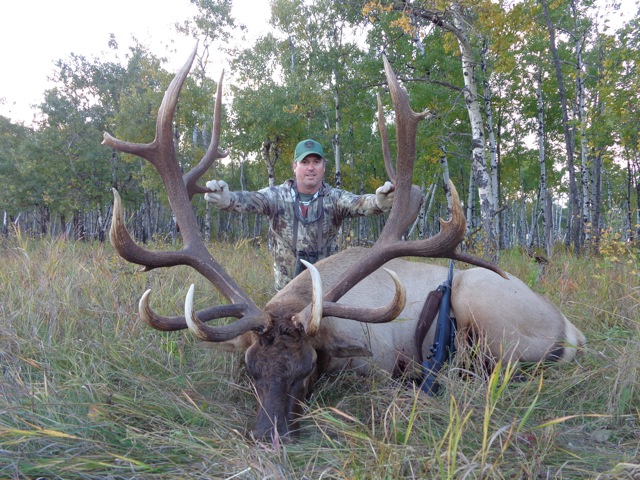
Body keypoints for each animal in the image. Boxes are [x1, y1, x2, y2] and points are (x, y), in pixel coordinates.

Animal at [104, 46, 586, 441]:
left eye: (307, 369)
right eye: (251, 369)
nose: (267, 435)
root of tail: (570, 329)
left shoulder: (375, 362)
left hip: (487, 310)